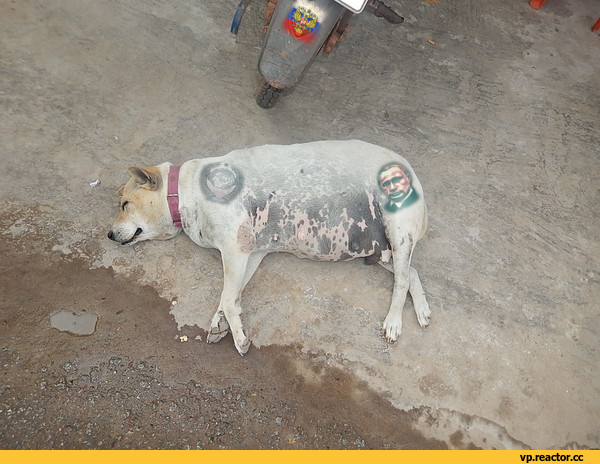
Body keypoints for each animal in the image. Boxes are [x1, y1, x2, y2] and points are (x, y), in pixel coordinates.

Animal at [108, 140, 432, 354]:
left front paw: (239, 339)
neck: (183, 193)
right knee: (411, 272)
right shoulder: (250, 255)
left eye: (125, 204)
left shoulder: (234, 251)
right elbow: (230, 296)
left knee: (402, 280)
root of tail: (415, 176)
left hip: (398, 230)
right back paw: (423, 311)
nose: (109, 235)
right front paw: (220, 323)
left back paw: (393, 323)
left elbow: (229, 298)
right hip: (380, 249)